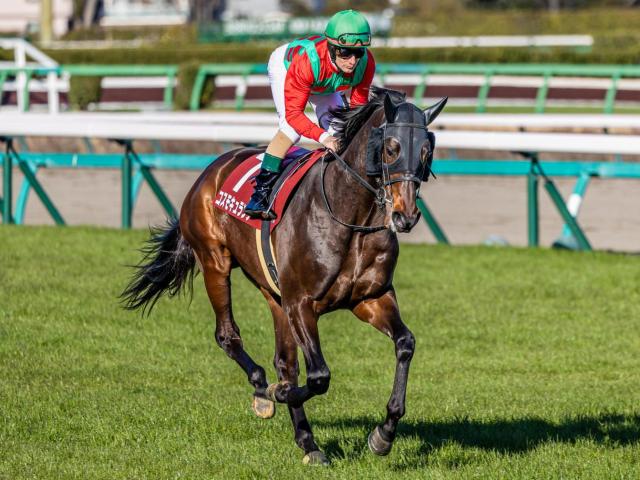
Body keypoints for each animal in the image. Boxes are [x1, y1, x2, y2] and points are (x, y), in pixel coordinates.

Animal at [121, 87, 447, 465]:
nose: (405, 216)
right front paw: (278, 394)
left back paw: (308, 441)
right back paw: (265, 392)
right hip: (215, 262)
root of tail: (212, 170)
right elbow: (319, 376)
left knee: (283, 361)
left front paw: (384, 434)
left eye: (426, 151)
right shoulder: (301, 304)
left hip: (274, 294)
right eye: (392, 148)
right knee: (228, 337)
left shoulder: (370, 298)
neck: (350, 215)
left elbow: (405, 343)